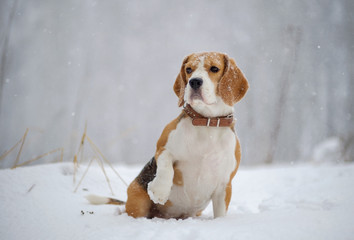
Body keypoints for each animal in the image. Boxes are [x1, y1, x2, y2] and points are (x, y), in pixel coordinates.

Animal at [88, 52, 249, 219]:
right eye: (188, 69)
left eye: (214, 68)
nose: (194, 82)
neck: (206, 122)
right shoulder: (162, 148)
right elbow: (166, 164)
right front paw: (159, 190)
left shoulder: (224, 185)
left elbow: (220, 213)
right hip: (137, 200)